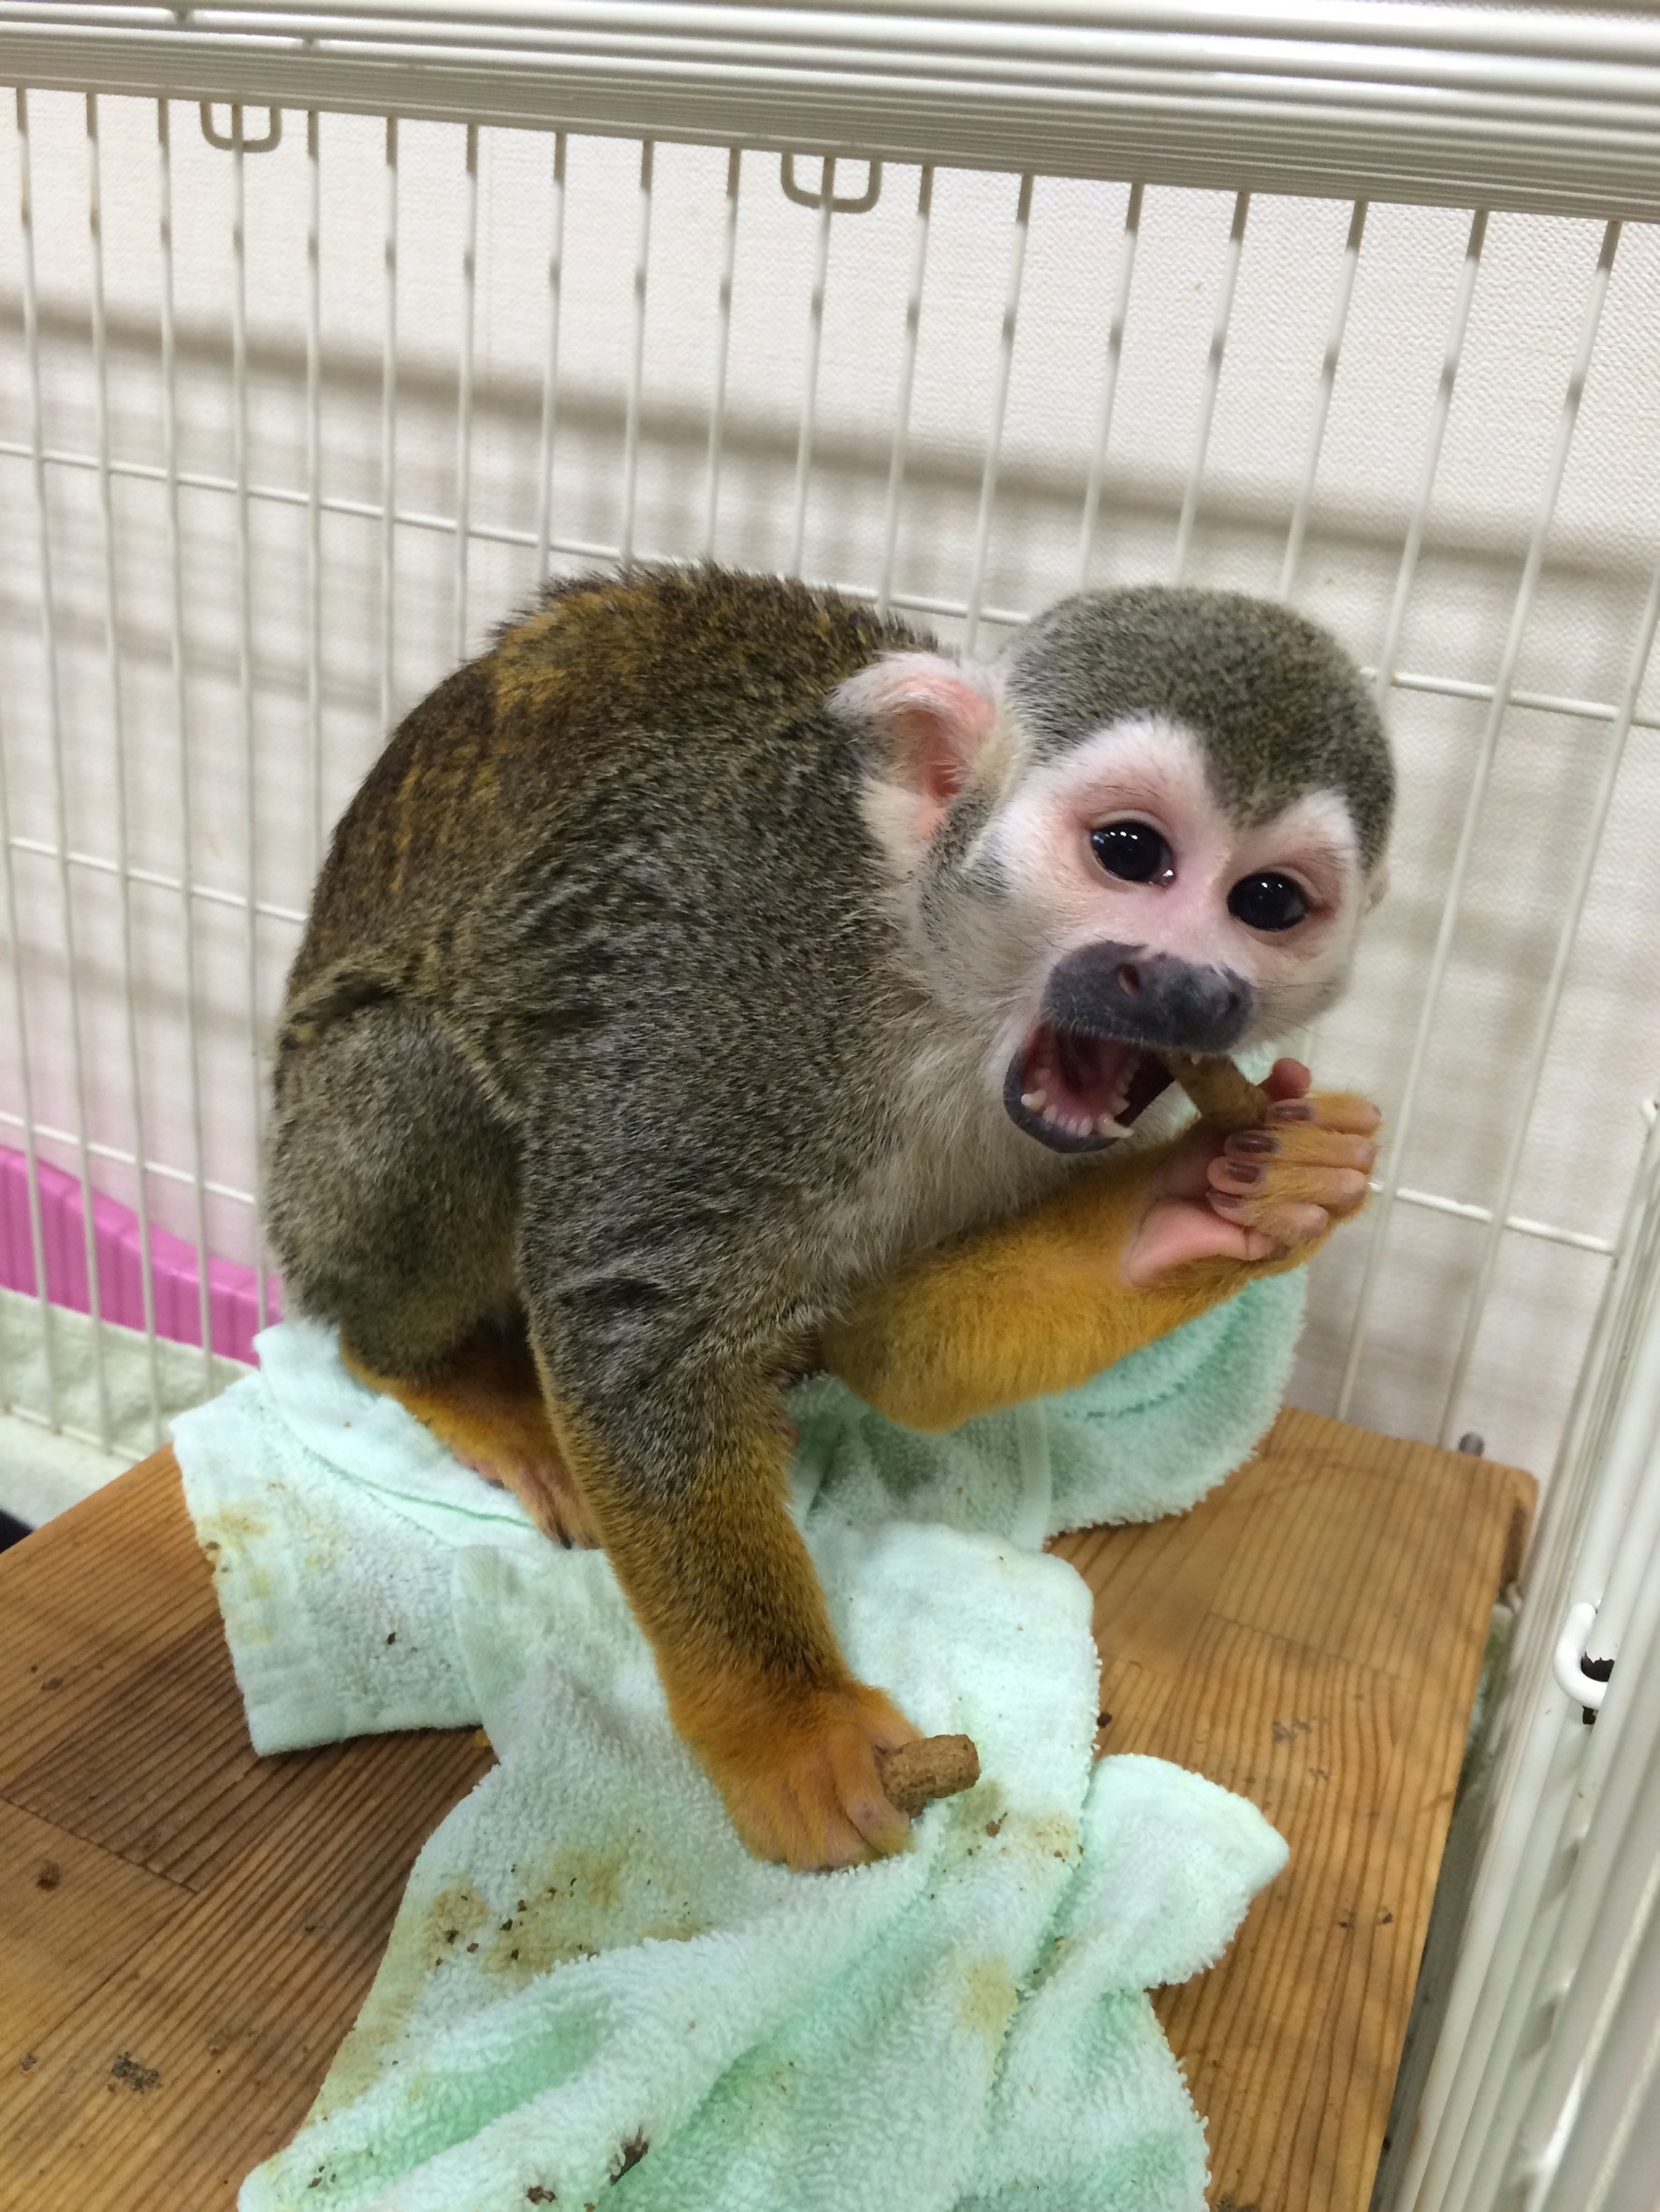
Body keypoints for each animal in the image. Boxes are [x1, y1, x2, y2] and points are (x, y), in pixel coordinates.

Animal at [269, 566, 1390, 1867]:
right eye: (1129, 852)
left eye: (1268, 901)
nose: (1189, 988)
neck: (941, 992)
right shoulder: (732, 988)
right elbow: (635, 1327)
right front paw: (789, 1725)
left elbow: (892, 1350)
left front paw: (1206, 1198)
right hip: (316, 1176)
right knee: (417, 1078)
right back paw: (438, 1372)